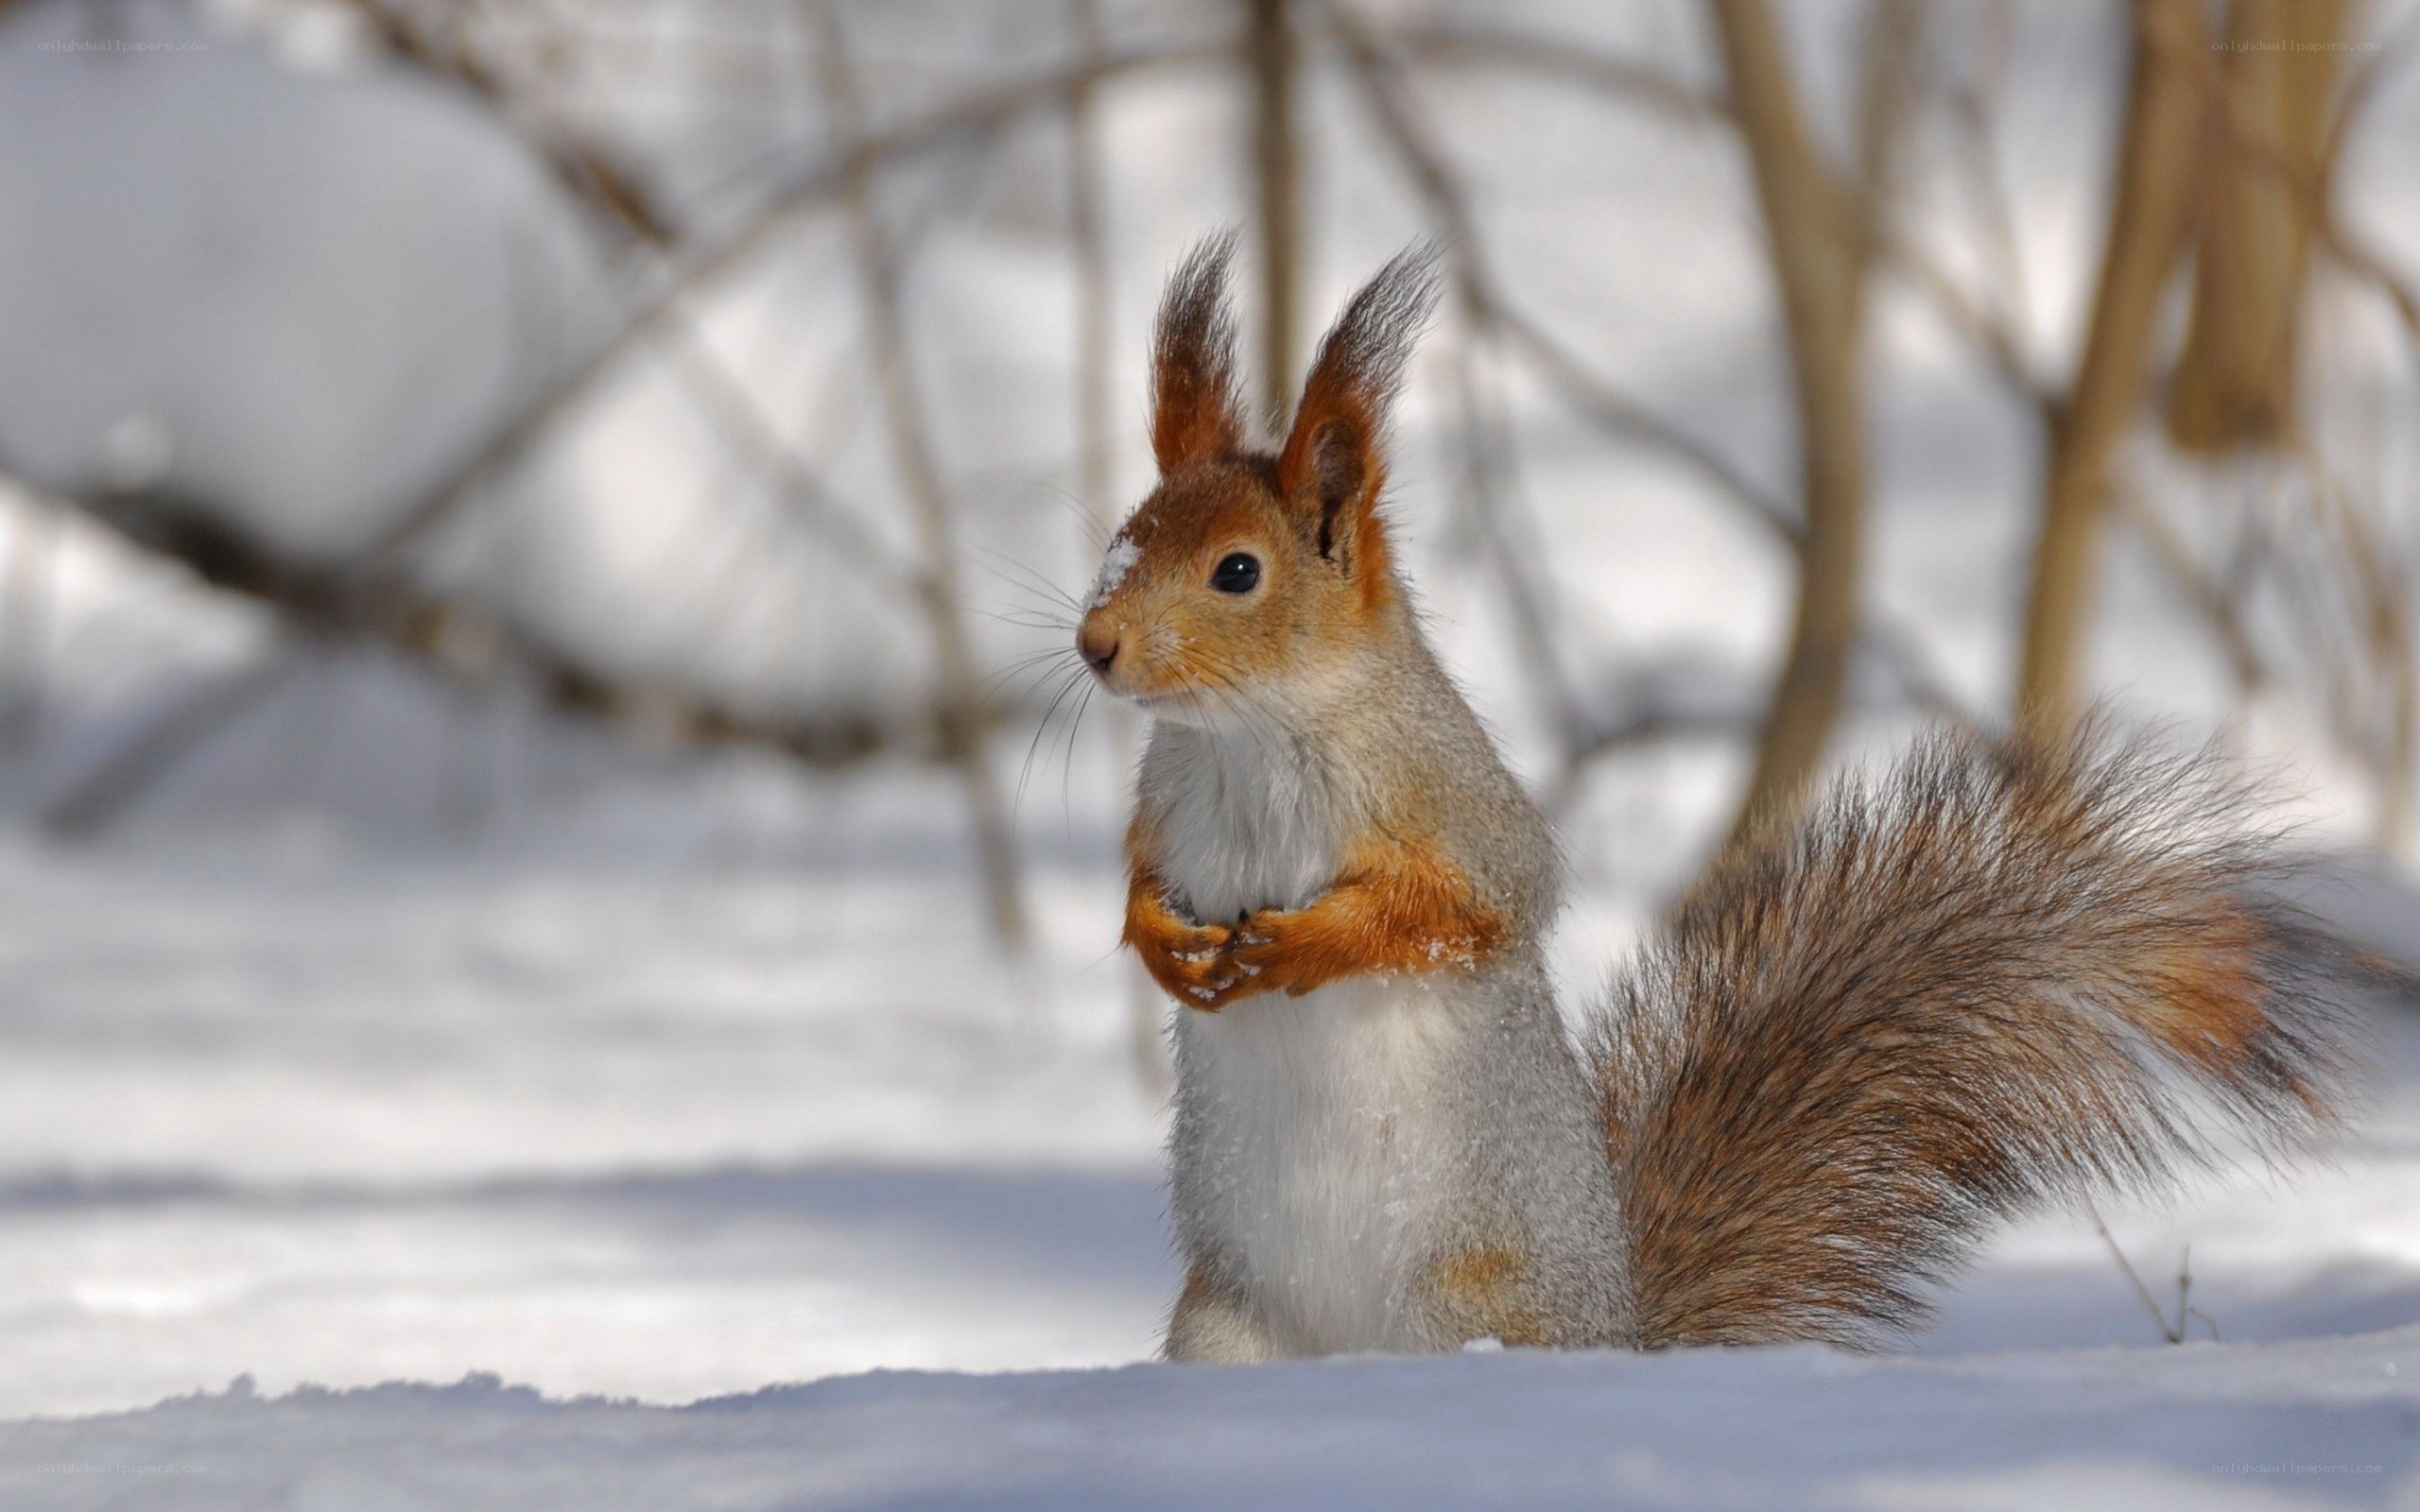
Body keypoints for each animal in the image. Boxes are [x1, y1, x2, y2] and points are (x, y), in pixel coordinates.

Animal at [1075, 235, 2373, 1362]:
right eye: (1121, 537)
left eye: (1237, 571)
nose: (1094, 646)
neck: (1249, 736)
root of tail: (1618, 1335)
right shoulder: (1166, 799)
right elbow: (1141, 876)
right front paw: (1159, 942)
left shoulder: (1452, 800)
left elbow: (1471, 907)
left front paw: (1302, 945)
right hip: (1225, 1323)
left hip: (1462, 1301)